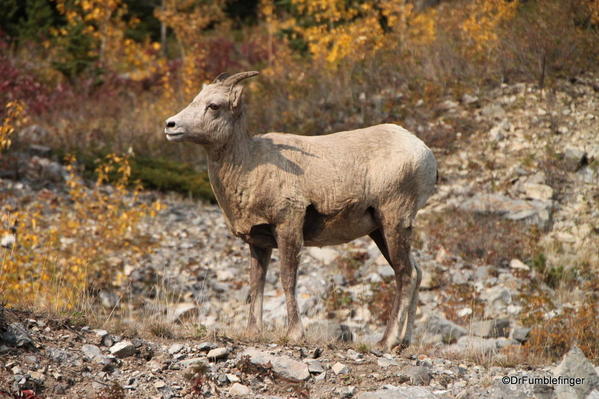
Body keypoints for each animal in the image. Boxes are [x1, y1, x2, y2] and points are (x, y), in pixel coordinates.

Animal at [166, 72, 438, 350]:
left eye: (214, 106)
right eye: (195, 100)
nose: (171, 125)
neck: (250, 165)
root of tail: (424, 153)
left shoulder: (288, 226)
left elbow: (287, 278)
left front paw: (295, 333)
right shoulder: (258, 242)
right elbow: (256, 284)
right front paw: (253, 332)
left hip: (394, 220)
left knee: (404, 274)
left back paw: (387, 341)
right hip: (380, 231)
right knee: (416, 273)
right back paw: (404, 341)